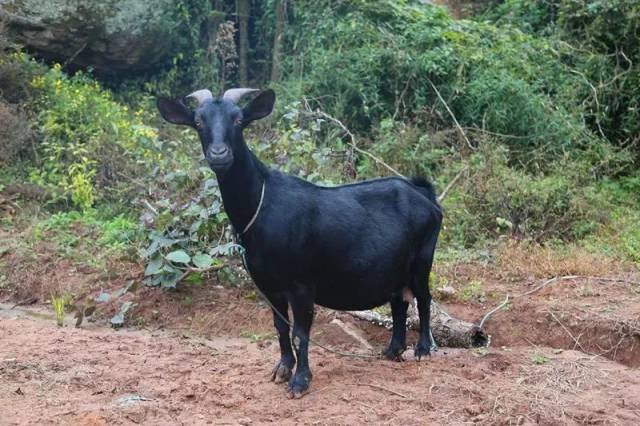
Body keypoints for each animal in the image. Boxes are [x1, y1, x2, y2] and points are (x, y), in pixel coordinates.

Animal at [158, 88, 442, 398]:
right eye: (198, 122)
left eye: (238, 119)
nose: (219, 154)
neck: (260, 205)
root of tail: (424, 194)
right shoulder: (268, 284)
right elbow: (280, 327)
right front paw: (282, 369)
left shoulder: (302, 284)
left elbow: (300, 334)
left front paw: (300, 381)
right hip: (394, 267)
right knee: (398, 302)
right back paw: (392, 350)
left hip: (422, 259)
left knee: (423, 298)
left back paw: (422, 350)